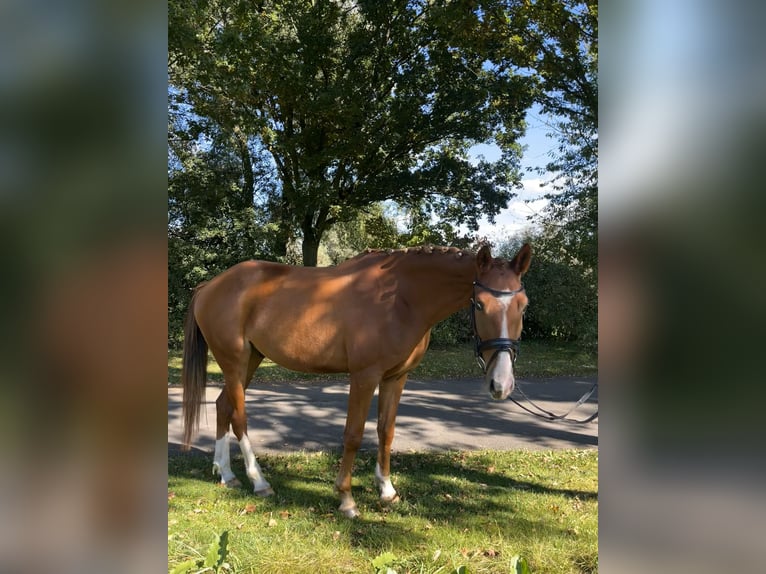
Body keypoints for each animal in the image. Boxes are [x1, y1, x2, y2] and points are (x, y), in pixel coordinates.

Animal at [182, 243, 532, 516]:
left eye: (523, 305)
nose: (501, 385)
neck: (399, 298)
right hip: (234, 361)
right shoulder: (365, 376)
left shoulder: (396, 377)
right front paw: (347, 499)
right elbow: (353, 435)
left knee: (222, 406)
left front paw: (387, 491)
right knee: (239, 417)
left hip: (249, 361)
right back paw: (258, 481)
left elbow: (386, 432)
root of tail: (210, 286)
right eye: (479, 304)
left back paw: (225, 474)